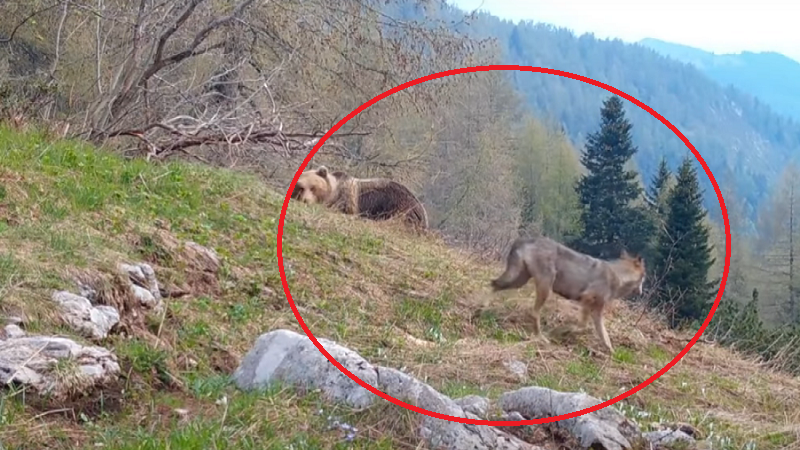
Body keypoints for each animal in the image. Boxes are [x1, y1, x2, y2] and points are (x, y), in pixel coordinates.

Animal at [490, 236, 646, 353]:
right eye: (644, 278)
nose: (641, 292)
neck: (619, 275)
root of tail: (526, 239)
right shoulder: (587, 300)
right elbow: (583, 327)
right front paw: (561, 331)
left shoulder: (597, 310)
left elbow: (604, 336)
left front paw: (612, 352)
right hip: (544, 288)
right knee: (533, 313)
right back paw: (541, 338)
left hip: (517, 281)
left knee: (492, 285)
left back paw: (484, 307)